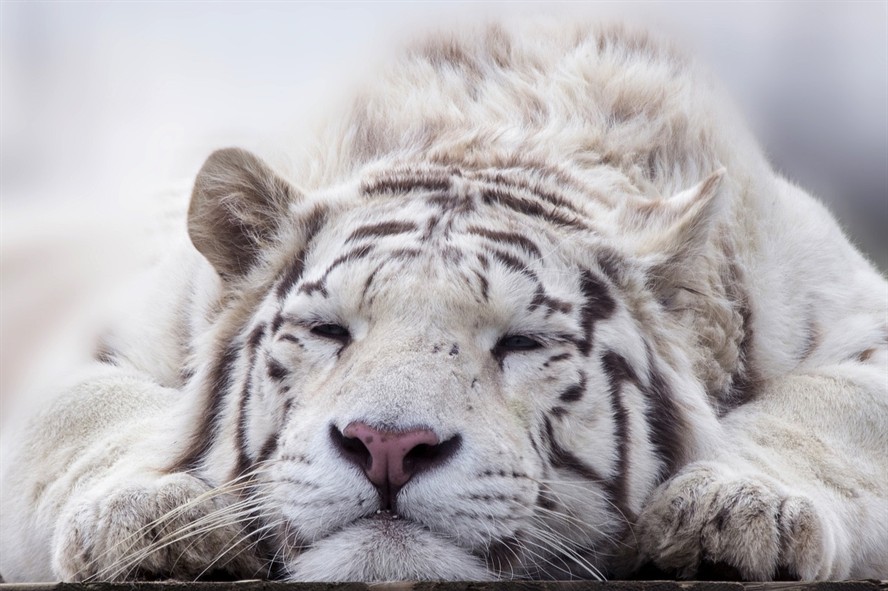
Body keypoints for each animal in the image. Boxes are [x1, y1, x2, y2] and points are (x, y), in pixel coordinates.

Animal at [1, 21, 886, 583]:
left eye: (521, 342)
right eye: (329, 330)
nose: (387, 446)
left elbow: (818, 412)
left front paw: (738, 508)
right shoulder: (93, 340)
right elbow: (85, 414)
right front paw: (149, 516)